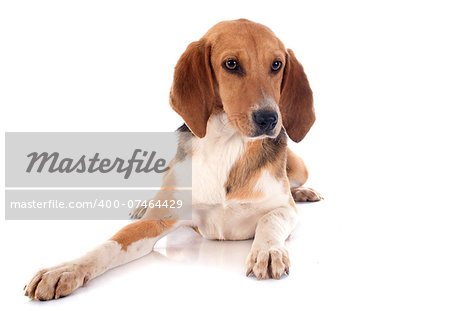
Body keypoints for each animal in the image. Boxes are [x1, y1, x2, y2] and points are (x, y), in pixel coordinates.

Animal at [24, 18, 322, 302]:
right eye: (231, 64)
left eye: (276, 64)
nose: (269, 119)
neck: (227, 145)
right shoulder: (160, 221)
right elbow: (111, 243)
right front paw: (65, 269)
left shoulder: (284, 209)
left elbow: (269, 221)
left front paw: (268, 252)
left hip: (300, 167)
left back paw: (304, 192)